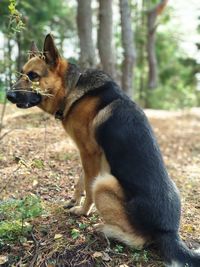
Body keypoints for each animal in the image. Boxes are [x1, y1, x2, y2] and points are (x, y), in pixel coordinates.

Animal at [6, 34, 200, 266]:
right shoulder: (86, 154)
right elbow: (80, 181)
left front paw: (83, 211)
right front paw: (73, 201)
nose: (7, 95)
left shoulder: (89, 153)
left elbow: (88, 187)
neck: (71, 89)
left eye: (33, 76)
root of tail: (169, 232)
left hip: (105, 183)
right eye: (22, 74)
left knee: (139, 241)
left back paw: (104, 228)